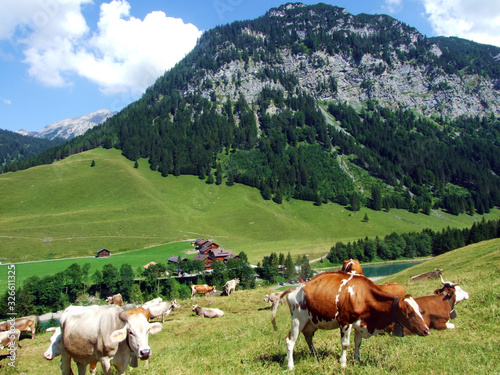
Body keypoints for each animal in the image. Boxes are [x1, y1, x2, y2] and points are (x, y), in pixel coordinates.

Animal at [270, 272, 430, 372]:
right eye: (409, 313)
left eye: (419, 310)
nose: (426, 330)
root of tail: (294, 289)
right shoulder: (344, 321)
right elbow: (345, 344)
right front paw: (343, 363)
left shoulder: (359, 323)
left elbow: (357, 343)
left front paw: (358, 360)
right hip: (298, 320)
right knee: (290, 341)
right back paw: (291, 366)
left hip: (311, 322)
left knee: (308, 338)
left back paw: (315, 356)